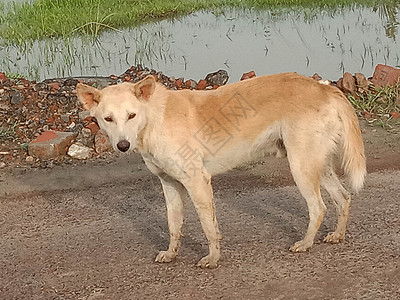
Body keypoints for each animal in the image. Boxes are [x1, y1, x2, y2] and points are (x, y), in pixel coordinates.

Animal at [75, 73, 366, 270]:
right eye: (108, 119)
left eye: (131, 116)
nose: (123, 146)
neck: (154, 119)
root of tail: (324, 88)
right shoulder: (169, 184)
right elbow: (173, 225)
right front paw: (171, 253)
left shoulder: (197, 182)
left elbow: (208, 227)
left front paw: (213, 258)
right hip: (318, 165)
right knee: (343, 198)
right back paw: (338, 235)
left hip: (301, 167)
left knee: (319, 207)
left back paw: (305, 243)